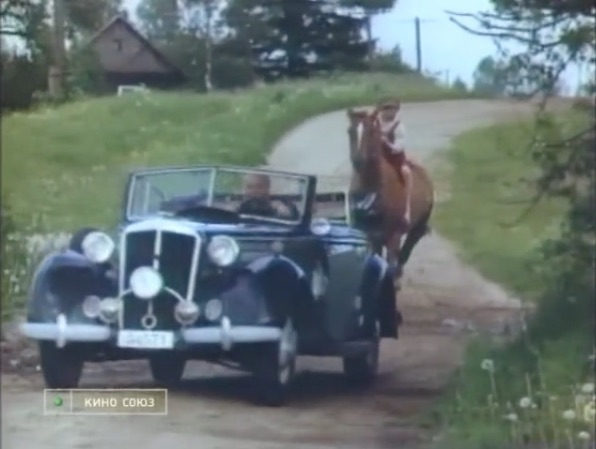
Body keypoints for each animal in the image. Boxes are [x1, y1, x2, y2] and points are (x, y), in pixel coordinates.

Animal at [344, 107, 434, 278]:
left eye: (371, 131)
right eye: (350, 130)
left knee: (405, 252)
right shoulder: (369, 235)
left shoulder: (393, 236)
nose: (358, 161)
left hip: (416, 229)